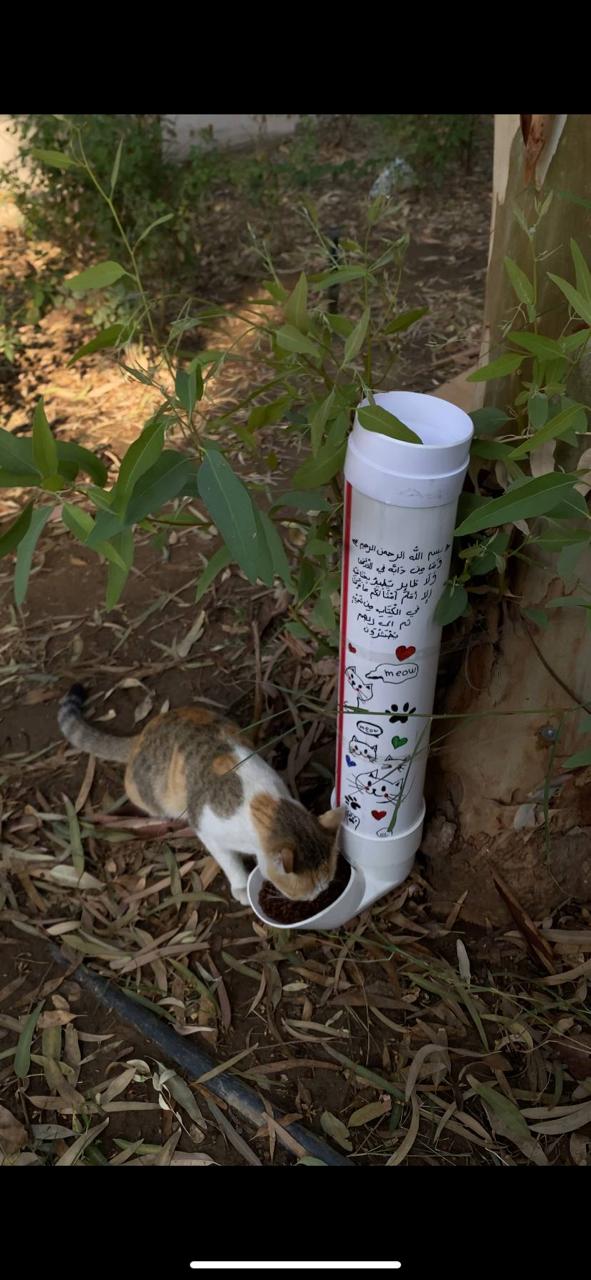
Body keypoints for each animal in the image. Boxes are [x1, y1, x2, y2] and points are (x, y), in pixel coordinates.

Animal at [58, 685, 344, 906]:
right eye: (308, 892)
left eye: (326, 884)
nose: (320, 897)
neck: (264, 803)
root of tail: (141, 736)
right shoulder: (207, 829)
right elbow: (228, 861)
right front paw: (241, 887)